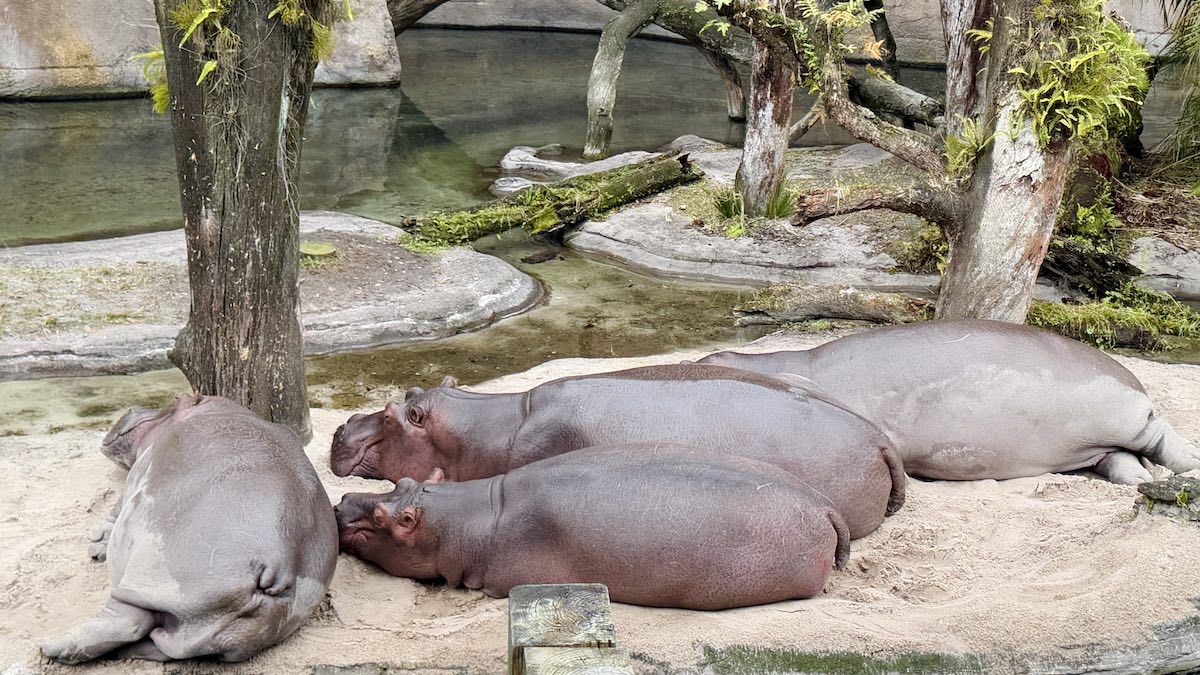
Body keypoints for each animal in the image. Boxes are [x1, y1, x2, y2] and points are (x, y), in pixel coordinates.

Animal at [42, 393, 338, 662]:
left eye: (176, 399)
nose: (131, 406)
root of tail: (283, 571)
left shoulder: (133, 481)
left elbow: (115, 507)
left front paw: (96, 544)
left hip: (155, 572)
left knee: (127, 619)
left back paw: (52, 647)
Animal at [696, 319, 1200, 482]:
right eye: (707, 358)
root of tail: (1134, 379)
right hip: (1091, 443)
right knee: (1119, 460)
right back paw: (1138, 481)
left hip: (1128, 416)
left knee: (1159, 437)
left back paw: (1189, 465)